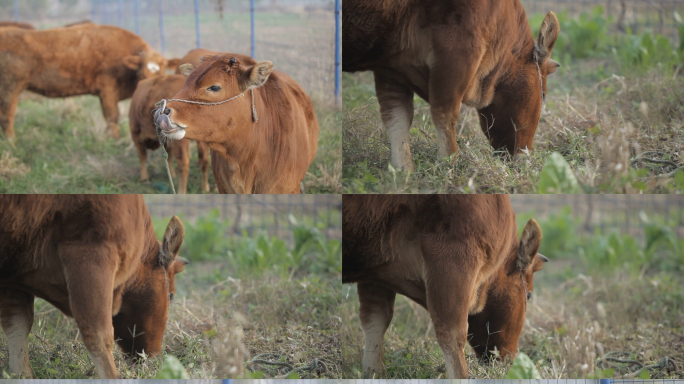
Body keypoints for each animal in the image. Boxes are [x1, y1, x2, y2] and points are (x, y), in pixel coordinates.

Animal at [0, 22, 168, 140]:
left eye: (161, 74)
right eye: (142, 75)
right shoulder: (107, 91)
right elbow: (112, 116)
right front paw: (114, 139)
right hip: (9, 90)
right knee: (7, 117)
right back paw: (12, 142)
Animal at [0, 195, 187, 378]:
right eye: (171, 295)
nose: (154, 357)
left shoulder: (14, 278)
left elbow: (18, 328)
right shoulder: (93, 257)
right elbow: (99, 335)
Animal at [342, 0, 560, 171]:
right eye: (543, 94)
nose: (525, 157)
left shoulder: (390, 69)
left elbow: (397, 119)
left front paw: (403, 171)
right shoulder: (456, 54)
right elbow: (444, 116)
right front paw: (448, 165)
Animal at [344, 195, 548, 378]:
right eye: (528, 295)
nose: (510, 361)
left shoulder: (375, 277)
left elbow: (375, 321)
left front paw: (373, 372)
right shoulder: (453, 258)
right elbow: (452, 334)